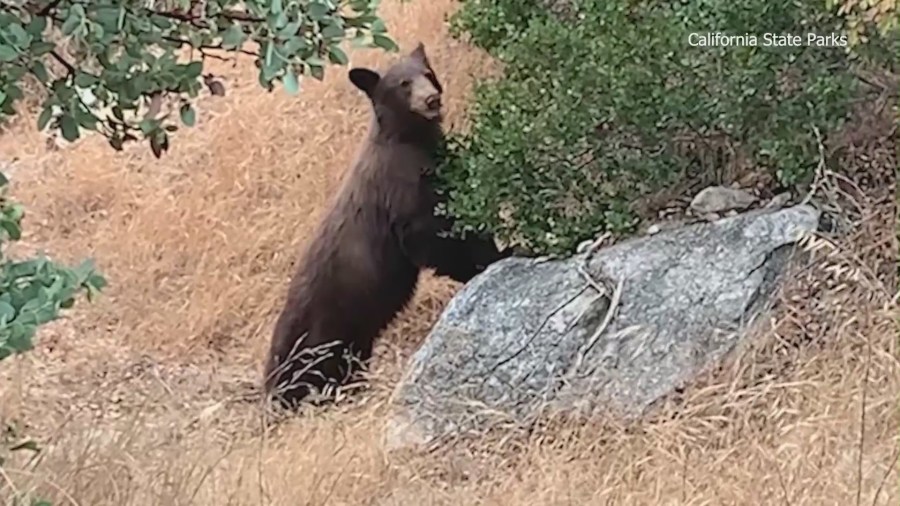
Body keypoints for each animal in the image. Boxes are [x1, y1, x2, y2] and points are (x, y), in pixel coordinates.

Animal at [264, 41, 510, 410]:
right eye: (402, 84)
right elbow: (430, 239)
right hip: (324, 333)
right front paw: (490, 260)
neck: (413, 144)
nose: (431, 100)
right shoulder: (401, 193)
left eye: (427, 74)